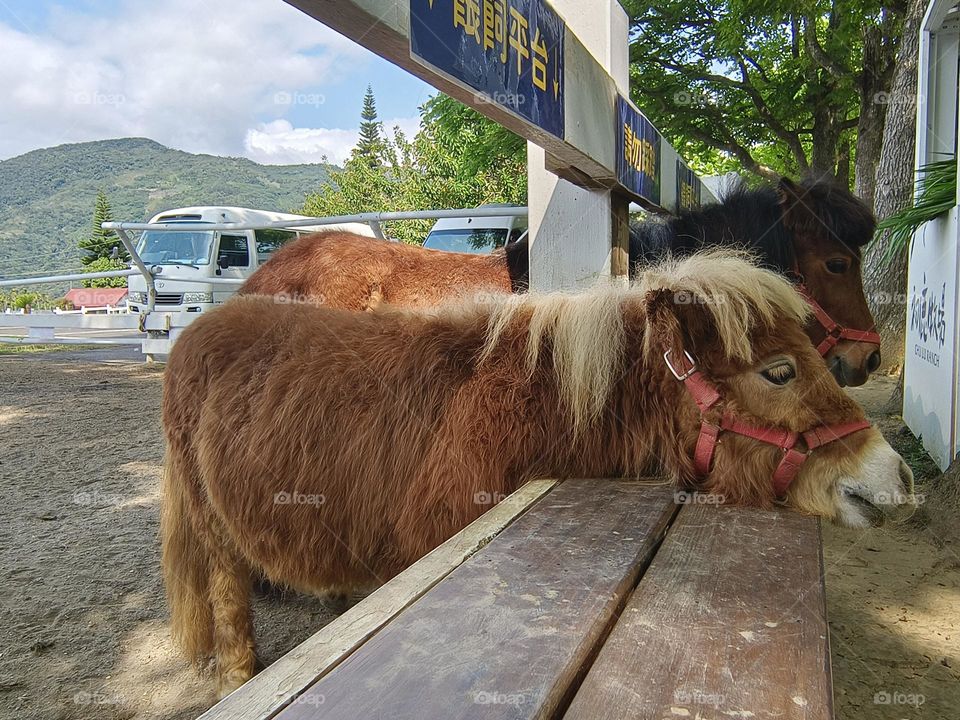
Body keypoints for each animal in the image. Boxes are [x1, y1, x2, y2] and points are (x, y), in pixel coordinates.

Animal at [163, 251, 912, 696]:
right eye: (779, 372)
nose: (897, 476)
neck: (537, 408)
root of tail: (200, 327)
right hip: (217, 541)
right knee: (230, 605)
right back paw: (236, 680)